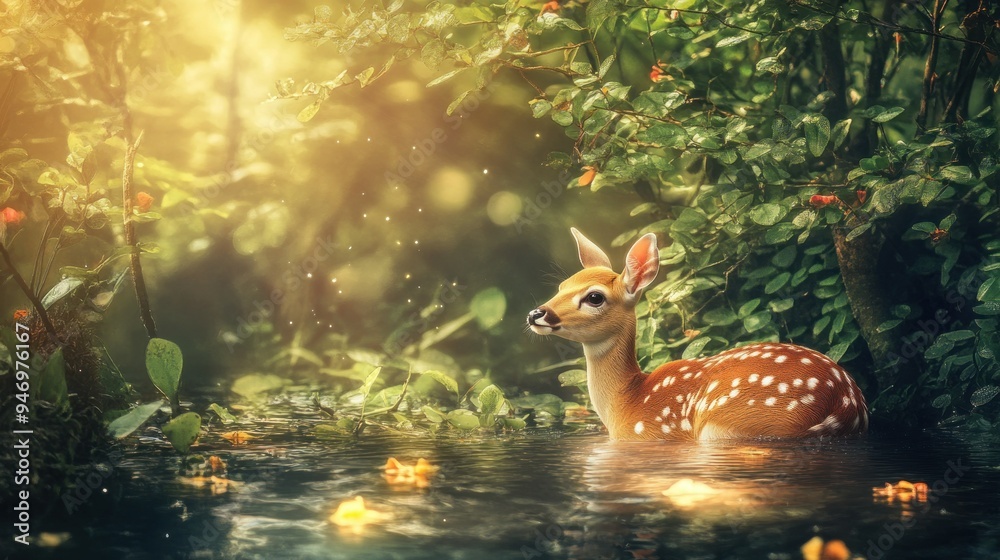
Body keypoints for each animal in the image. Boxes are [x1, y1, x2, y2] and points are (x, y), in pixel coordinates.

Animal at [527, 228, 869, 441]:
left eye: (594, 297)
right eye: (562, 286)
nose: (536, 314)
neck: (623, 403)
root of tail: (846, 403)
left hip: (732, 422)